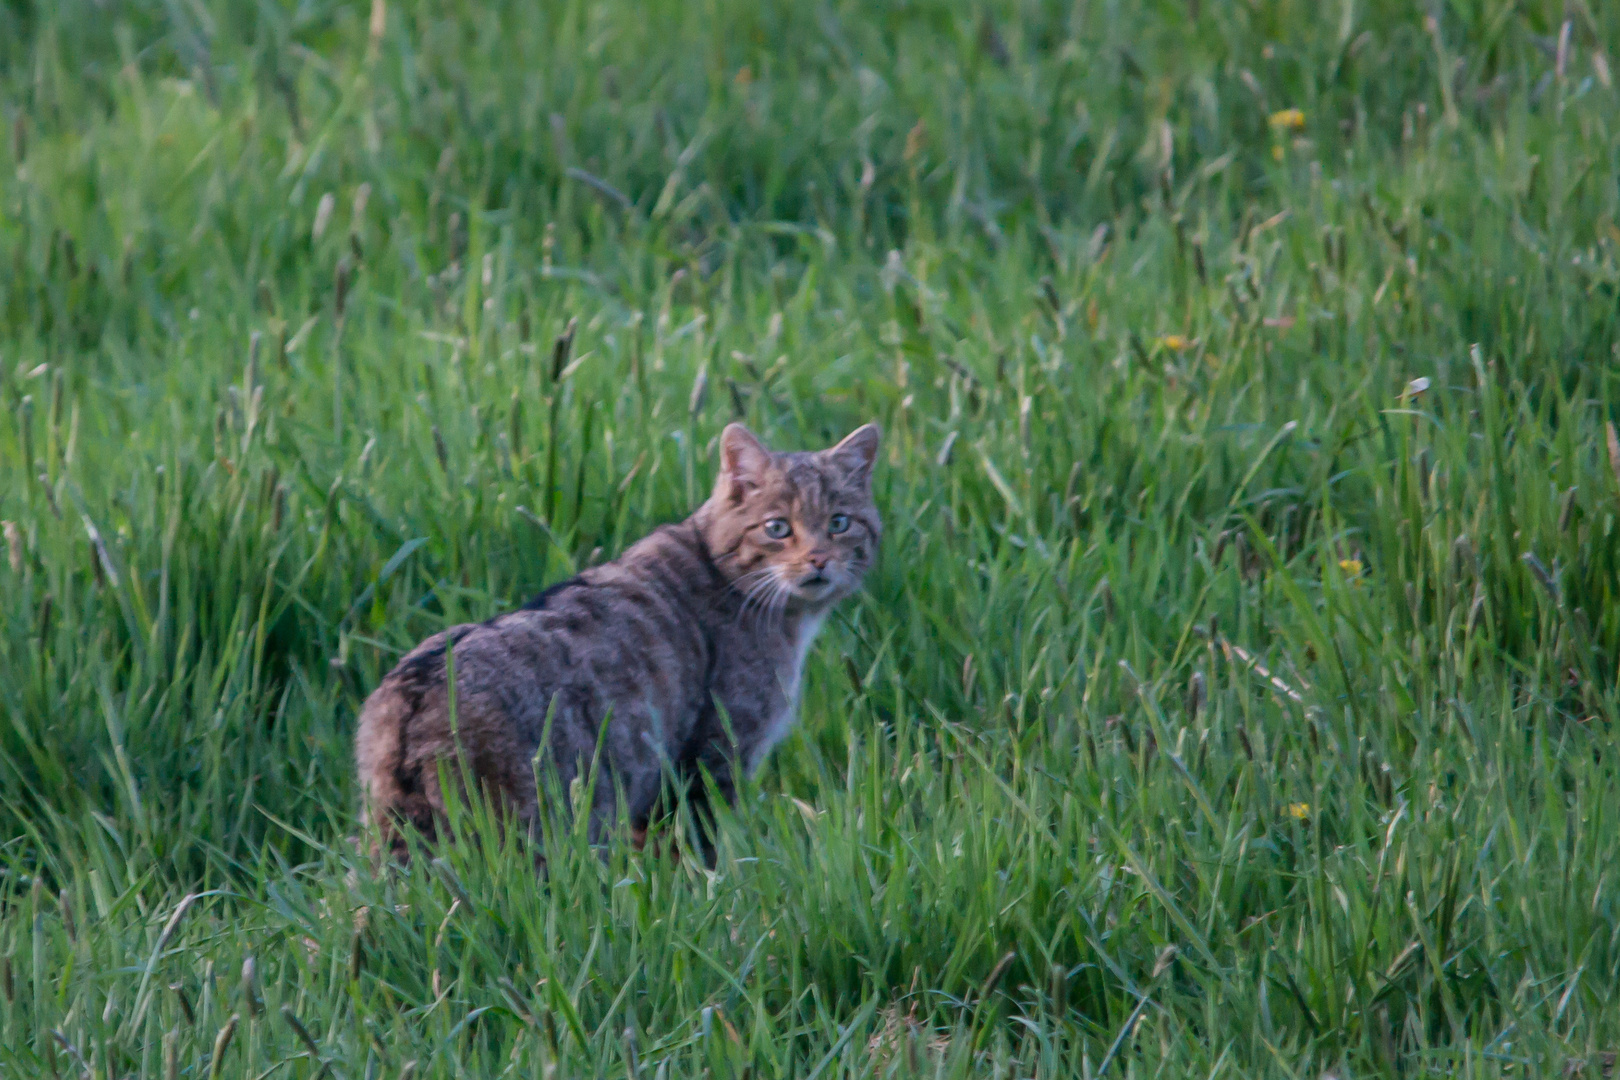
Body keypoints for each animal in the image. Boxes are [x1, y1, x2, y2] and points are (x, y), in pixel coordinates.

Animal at [356, 420, 881, 861]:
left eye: (839, 523)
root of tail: (411, 695)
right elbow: (702, 852)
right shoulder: (712, 762)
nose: (818, 559)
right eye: (777, 528)